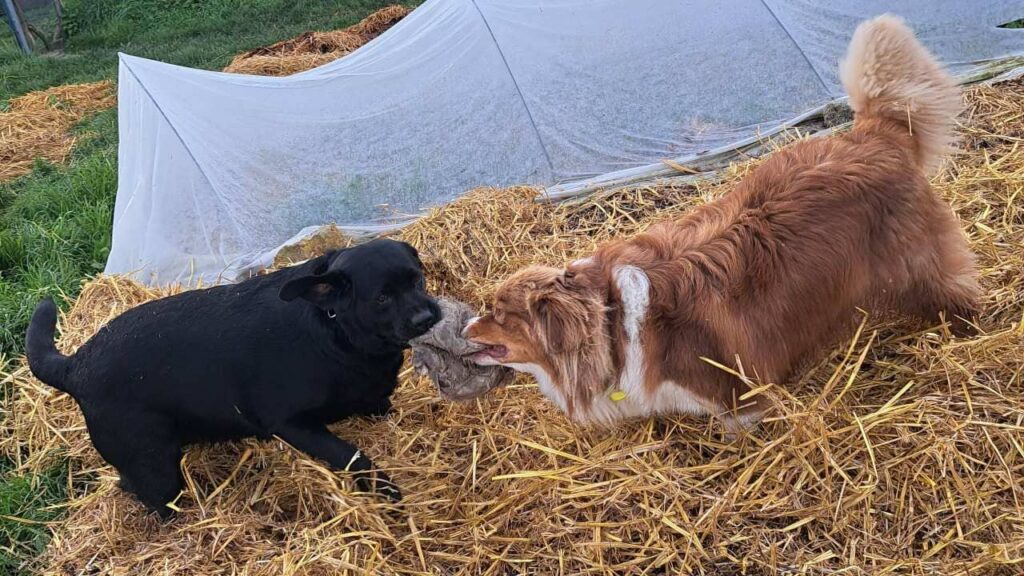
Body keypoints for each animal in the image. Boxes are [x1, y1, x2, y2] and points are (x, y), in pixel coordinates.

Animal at [24, 237, 440, 516]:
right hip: (156, 467)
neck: (334, 326)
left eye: (417, 280)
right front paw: (385, 490)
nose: (427, 317)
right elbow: (353, 456)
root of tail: (77, 364)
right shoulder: (290, 424)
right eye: (382, 298)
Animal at [462, 14, 974, 430]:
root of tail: (872, 132)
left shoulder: (739, 397)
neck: (612, 325)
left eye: (502, 317)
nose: (464, 328)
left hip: (918, 263)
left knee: (955, 291)